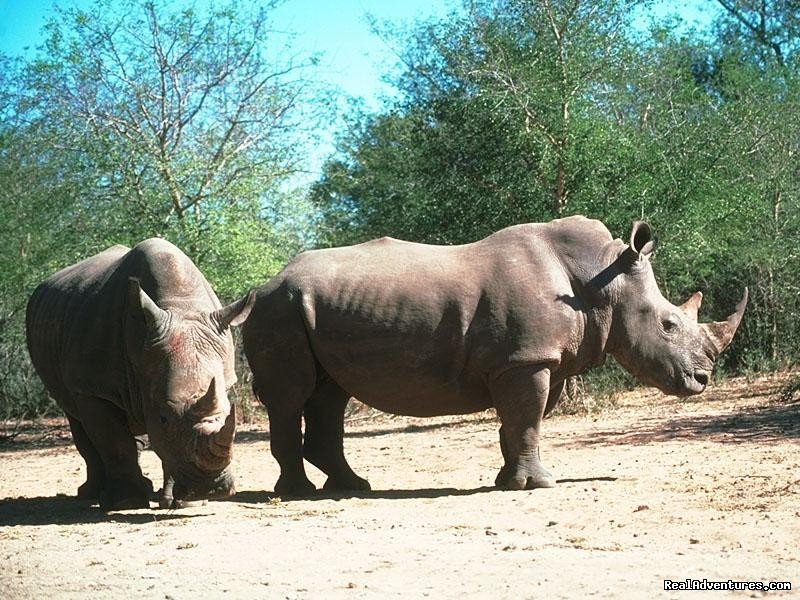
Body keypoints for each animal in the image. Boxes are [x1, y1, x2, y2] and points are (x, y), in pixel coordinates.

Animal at [27, 239, 253, 510]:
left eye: (229, 414)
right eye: (164, 417)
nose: (212, 488)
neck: (179, 306)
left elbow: (165, 445)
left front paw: (180, 502)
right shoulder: (93, 388)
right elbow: (115, 442)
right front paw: (127, 502)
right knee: (76, 418)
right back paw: (92, 494)